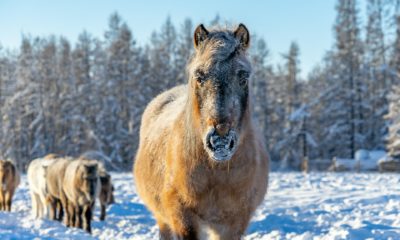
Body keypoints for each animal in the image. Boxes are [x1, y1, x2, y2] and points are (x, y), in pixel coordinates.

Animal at [134, 23, 268, 240]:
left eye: (243, 77)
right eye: (199, 76)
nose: (220, 141)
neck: (216, 171)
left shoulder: (234, 221)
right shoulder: (183, 215)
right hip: (163, 218)